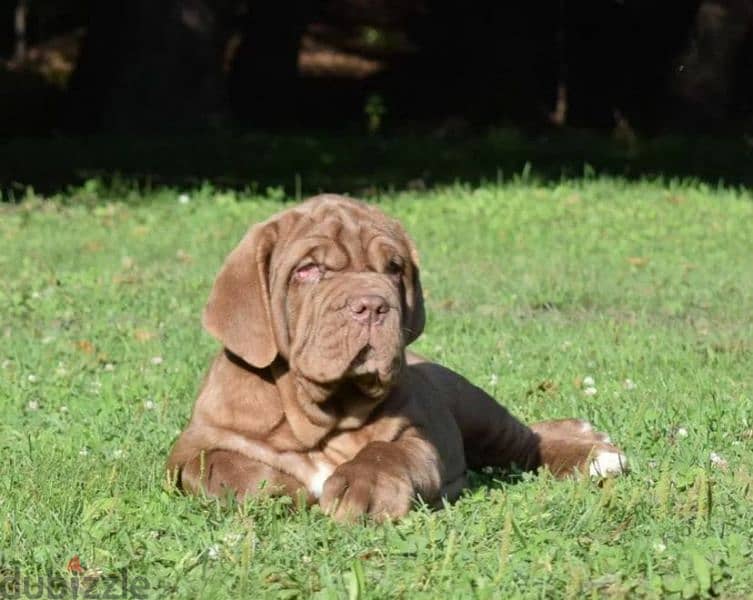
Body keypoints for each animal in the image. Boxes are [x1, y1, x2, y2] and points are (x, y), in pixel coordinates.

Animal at [167, 193, 624, 520]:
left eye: (393, 268)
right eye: (307, 270)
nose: (372, 304)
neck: (323, 415)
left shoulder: (417, 435)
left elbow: (388, 453)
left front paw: (363, 486)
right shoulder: (191, 447)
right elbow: (215, 465)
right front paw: (276, 487)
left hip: (471, 404)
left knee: (525, 440)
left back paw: (594, 452)